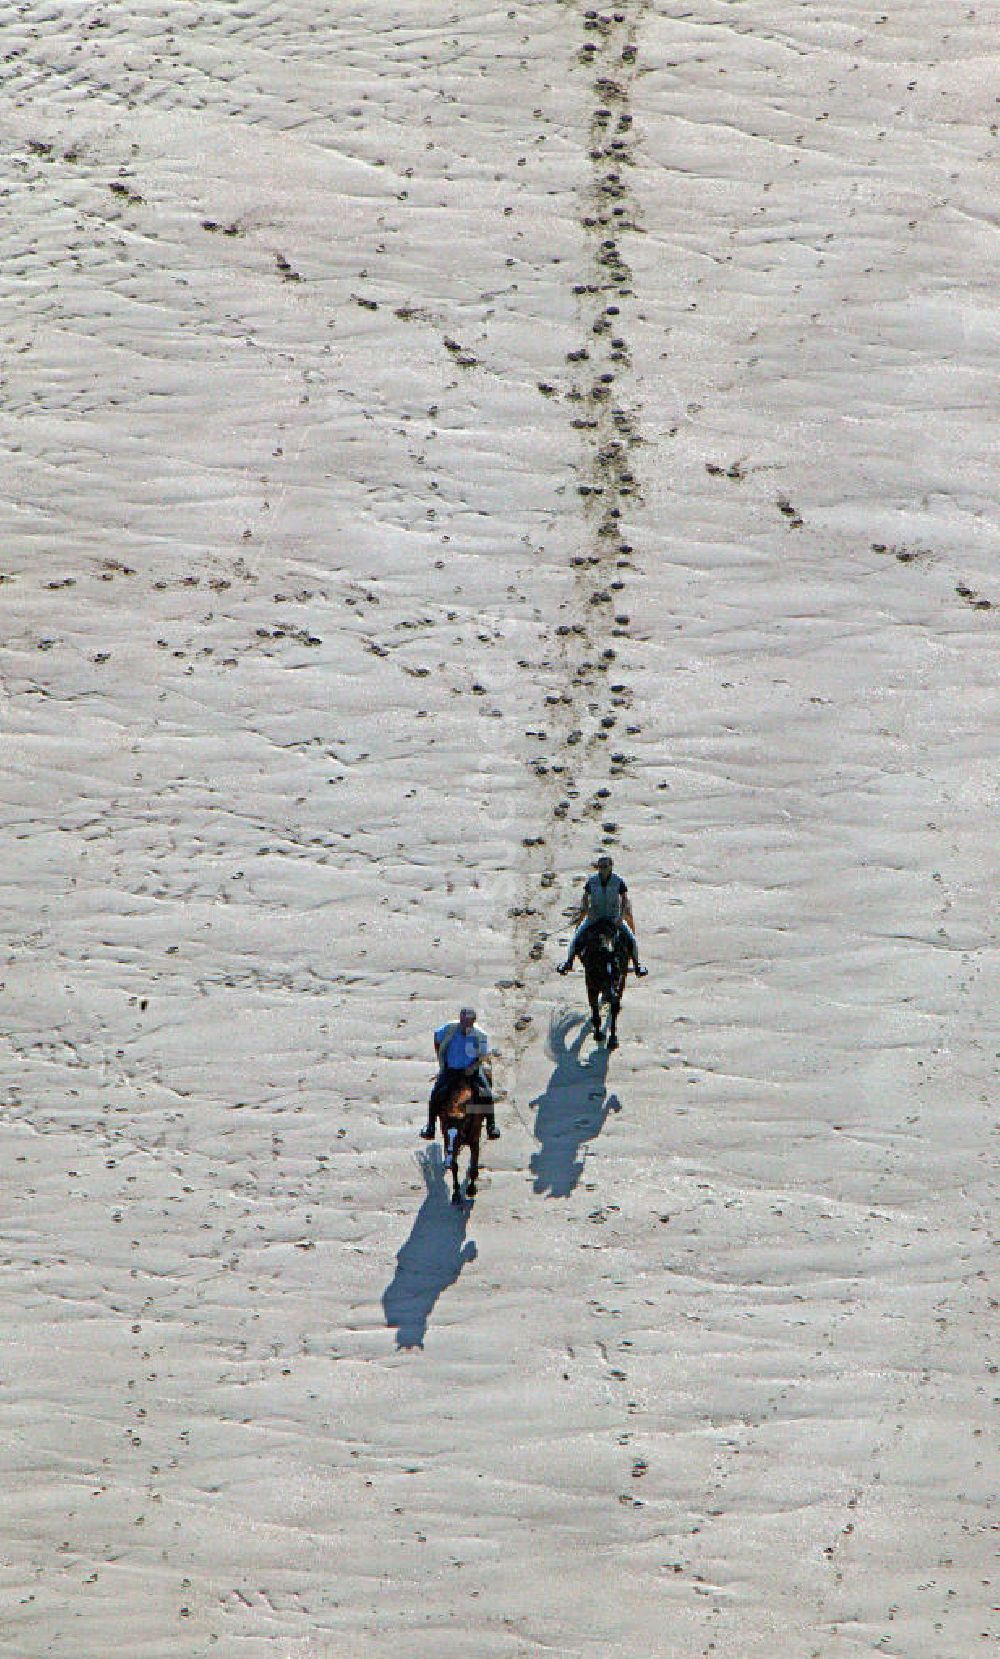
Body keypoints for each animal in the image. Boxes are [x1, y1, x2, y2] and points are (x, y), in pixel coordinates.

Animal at [437, 1075, 484, 1207]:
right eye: (445, 1135)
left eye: (459, 1135)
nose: (447, 1163)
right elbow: (455, 1167)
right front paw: (456, 1194)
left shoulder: (474, 1142)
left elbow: (473, 1167)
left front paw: (471, 1190)